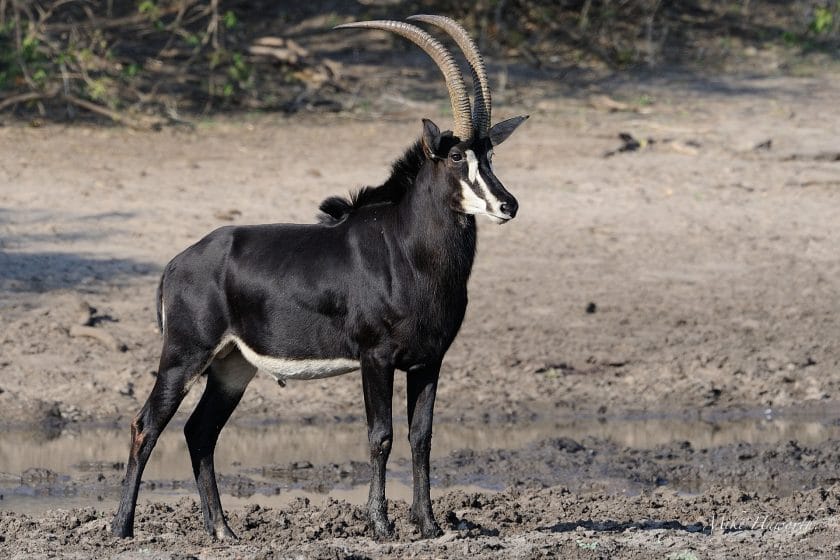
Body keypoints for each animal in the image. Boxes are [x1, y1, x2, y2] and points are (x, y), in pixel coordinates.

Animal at [112, 15, 528, 540]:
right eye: (457, 158)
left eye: (490, 155)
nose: (507, 205)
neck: (407, 249)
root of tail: (175, 263)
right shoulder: (375, 357)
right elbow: (381, 436)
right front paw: (381, 525)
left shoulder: (428, 361)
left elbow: (422, 437)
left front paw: (429, 524)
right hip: (184, 355)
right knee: (146, 424)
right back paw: (122, 529)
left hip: (232, 366)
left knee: (200, 432)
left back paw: (222, 530)